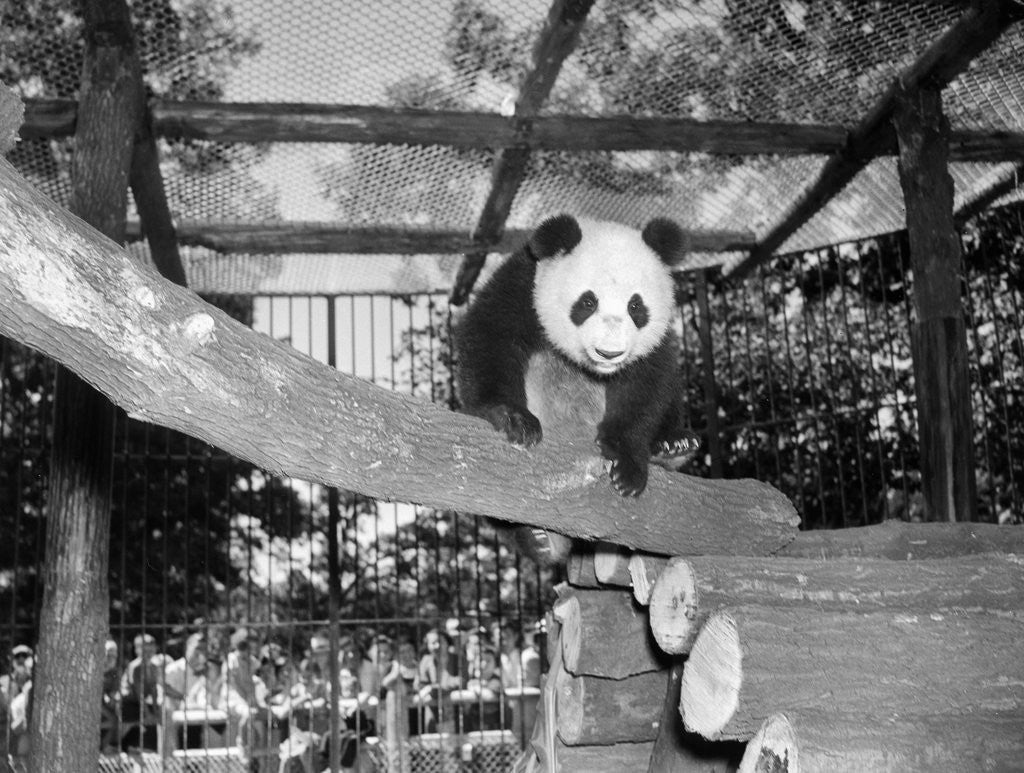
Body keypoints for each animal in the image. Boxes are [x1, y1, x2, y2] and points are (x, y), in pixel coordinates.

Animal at [456, 215, 696, 556]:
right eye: (587, 302)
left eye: (636, 306)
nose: (609, 353)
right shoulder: (525, 286)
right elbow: (492, 336)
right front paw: (513, 418)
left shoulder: (655, 341)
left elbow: (648, 383)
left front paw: (626, 464)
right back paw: (538, 538)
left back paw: (673, 445)